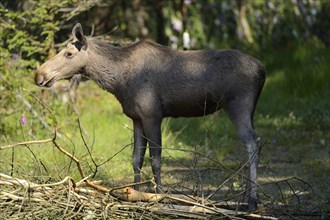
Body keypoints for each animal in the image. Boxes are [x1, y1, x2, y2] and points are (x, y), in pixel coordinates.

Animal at [34, 23, 266, 211]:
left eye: (69, 54)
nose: (39, 75)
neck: (117, 80)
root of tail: (262, 70)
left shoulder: (152, 115)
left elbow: (155, 160)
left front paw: (159, 196)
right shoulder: (136, 118)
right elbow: (136, 159)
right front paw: (134, 193)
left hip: (238, 106)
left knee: (252, 143)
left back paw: (252, 201)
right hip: (250, 110)